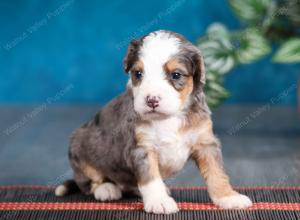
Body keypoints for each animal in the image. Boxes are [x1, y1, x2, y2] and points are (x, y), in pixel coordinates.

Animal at [55, 30, 252, 213]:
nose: (151, 100)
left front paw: (228, 197)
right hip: (79, 146)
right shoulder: (142, 148)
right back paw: (106, 189)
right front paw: (159, 201)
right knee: (91, 182)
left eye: (176, 75)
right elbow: (151, 178)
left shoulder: (206, 143)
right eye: (138, 73)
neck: (168, 118)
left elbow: (216, 172)